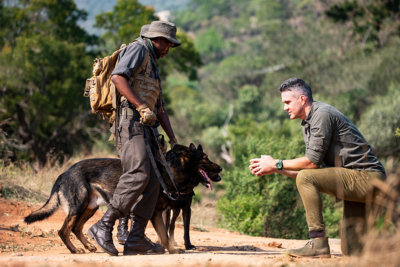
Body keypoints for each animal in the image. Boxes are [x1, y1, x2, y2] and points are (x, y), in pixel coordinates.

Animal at [24, 144, 222, 255]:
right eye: (205, 158)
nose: (221, 168)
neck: (169, 172)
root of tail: (64, 173)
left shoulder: (157, 212)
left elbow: (164, 235)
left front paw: (171, 249)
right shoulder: (153, 212)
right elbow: (163, 234)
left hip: (90, 208)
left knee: (77, 228)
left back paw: (89, 246)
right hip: (78, 206)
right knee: (64, 230)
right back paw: (75, 250)